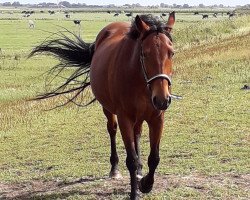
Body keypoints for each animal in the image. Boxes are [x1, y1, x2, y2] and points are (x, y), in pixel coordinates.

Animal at [29, 11, 176, 199]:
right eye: (144, 54)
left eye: (171, 53)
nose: (162, 99)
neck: (140, 82)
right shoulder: (124, 118)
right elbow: (131, 159)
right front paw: (135, 191)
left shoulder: (157, 118)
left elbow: (154, 158)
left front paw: (145, 183)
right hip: (108, 109)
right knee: (112, 130)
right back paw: (115, 169)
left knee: (137, 133)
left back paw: (140, 172)